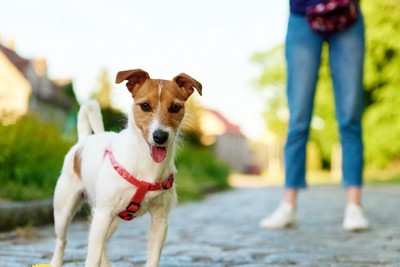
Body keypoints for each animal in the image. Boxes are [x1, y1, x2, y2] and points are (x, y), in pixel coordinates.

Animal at [50, 69, 202, 267]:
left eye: (175, 107)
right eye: (145, 106)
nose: (160, 136)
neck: (147, 164)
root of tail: (84, 140)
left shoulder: (160, 221)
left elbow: (152, 259)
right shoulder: (103, 214)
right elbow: (91, 258)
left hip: (110, 221)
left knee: (101, 246)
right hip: (65, 212)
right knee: (62, 241)